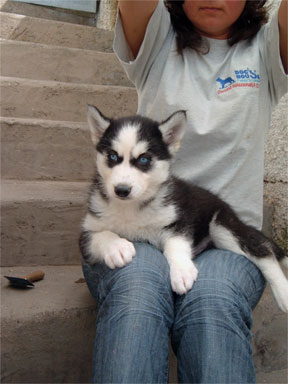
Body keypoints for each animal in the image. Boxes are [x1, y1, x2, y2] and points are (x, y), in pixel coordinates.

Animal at [79, 105, 288, 312]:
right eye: (112, 156)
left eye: (144, 159)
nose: (121, 190)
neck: (131, 207)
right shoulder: (88, 230)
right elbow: (101, 235)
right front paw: (117, 247)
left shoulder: (179, 221)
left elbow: (176, 245)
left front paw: (181, 271)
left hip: (221, 226)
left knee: (264, 252)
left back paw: (283, 293)